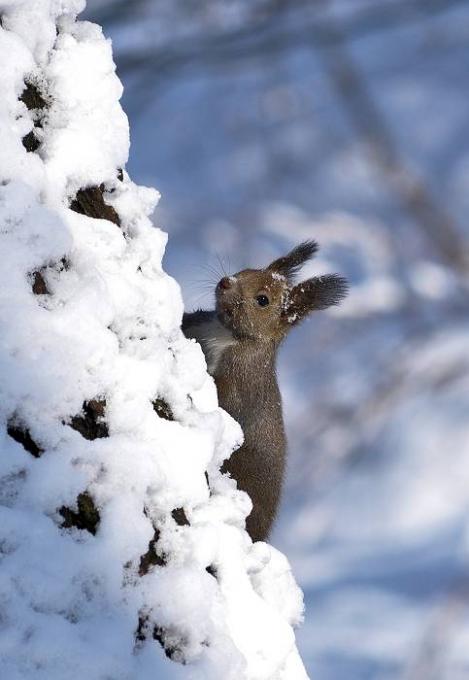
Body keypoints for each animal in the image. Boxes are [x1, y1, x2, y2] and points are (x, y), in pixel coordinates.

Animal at [183, 239, 348, 540]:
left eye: (263, 300)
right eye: (247, 269)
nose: (225, 281)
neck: (226, 332)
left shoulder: (240, 378)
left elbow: (220, 396)